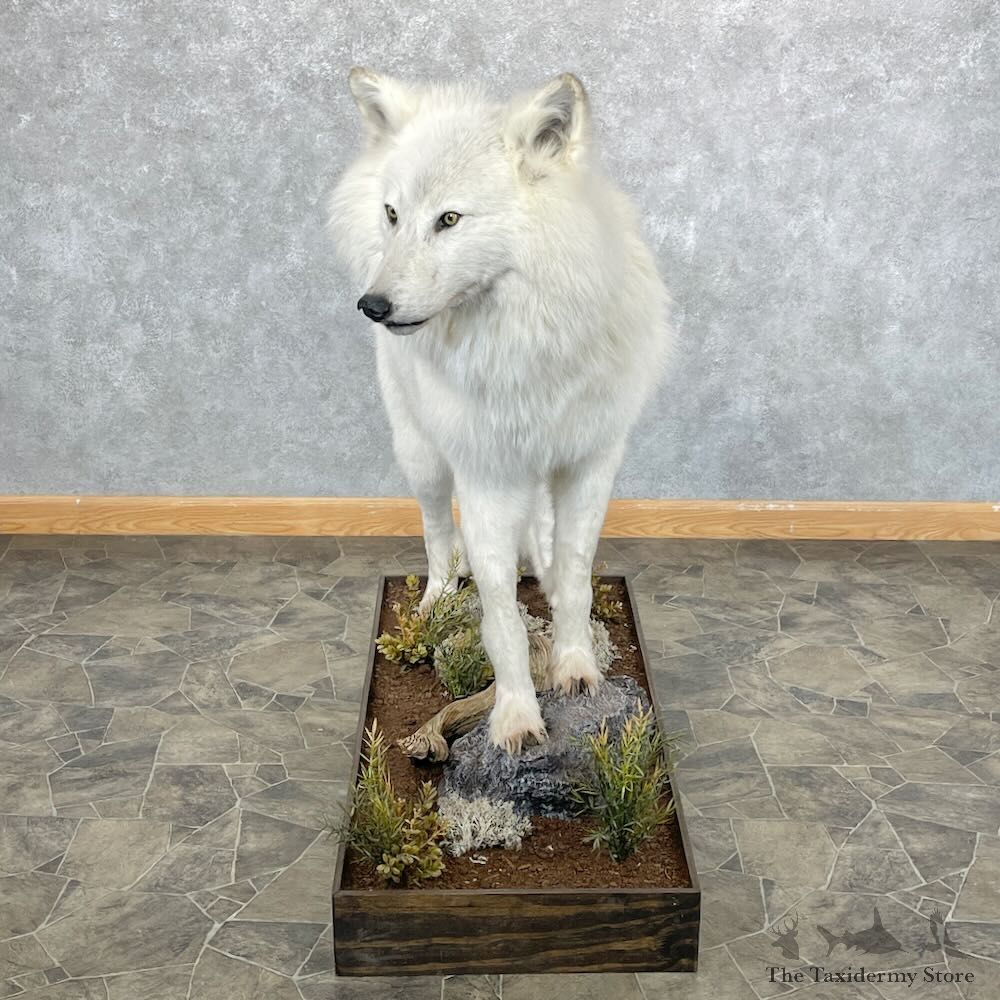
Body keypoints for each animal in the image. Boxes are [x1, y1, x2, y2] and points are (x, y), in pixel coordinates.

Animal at [328, 68, 673, 754]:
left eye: (449, 219)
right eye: (393, 214)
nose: (372, 305)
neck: (525, 341)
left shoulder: (590, 460)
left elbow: (576, 574)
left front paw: (576, 668)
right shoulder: (484, 474)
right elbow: (500, 612)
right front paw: (516, 716)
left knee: (538, 531)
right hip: (422, 458)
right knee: (438, 534)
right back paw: (436, 601)